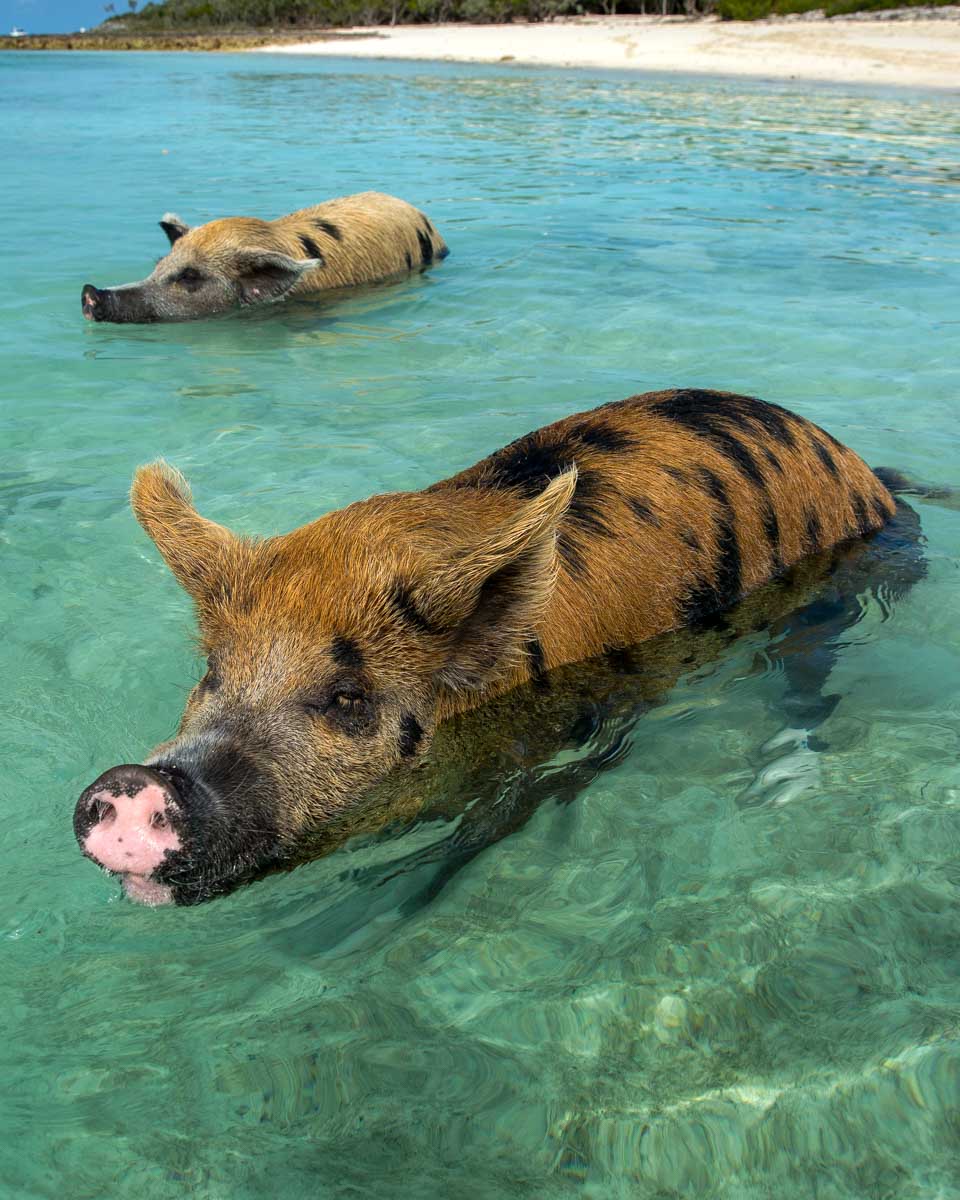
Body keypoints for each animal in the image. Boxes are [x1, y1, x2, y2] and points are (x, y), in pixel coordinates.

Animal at [74, 388, 901, 906]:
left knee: (811, 680)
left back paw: (778, 787)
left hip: (826, 594)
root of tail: (869, 475)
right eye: (213, 672)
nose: (129, 781)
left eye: (349, 698)